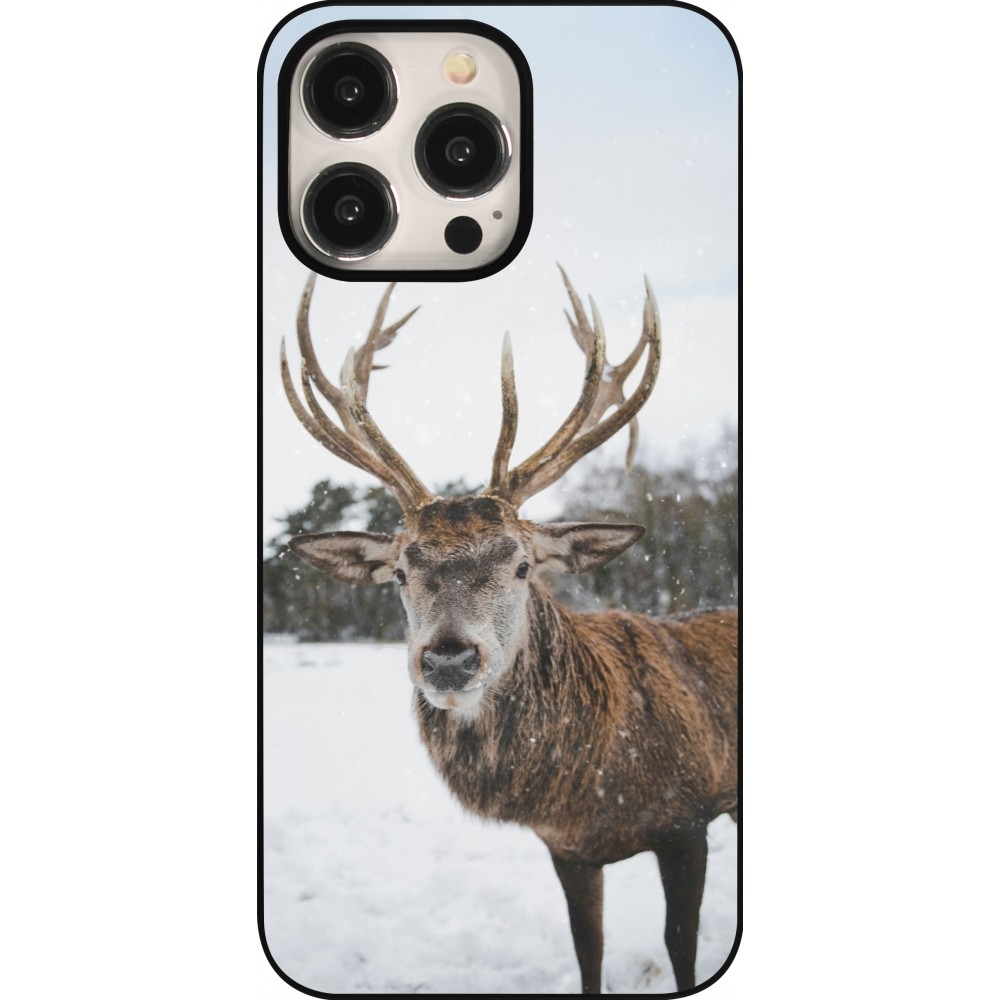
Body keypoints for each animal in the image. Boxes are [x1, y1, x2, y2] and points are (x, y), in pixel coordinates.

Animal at [278, 269, 739, 995]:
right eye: (401, 571)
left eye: (522, 564)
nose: (448, 661)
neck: (592, 786)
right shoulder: (568, 849)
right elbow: (588, 948)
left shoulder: (689, 817)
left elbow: (681, 946)